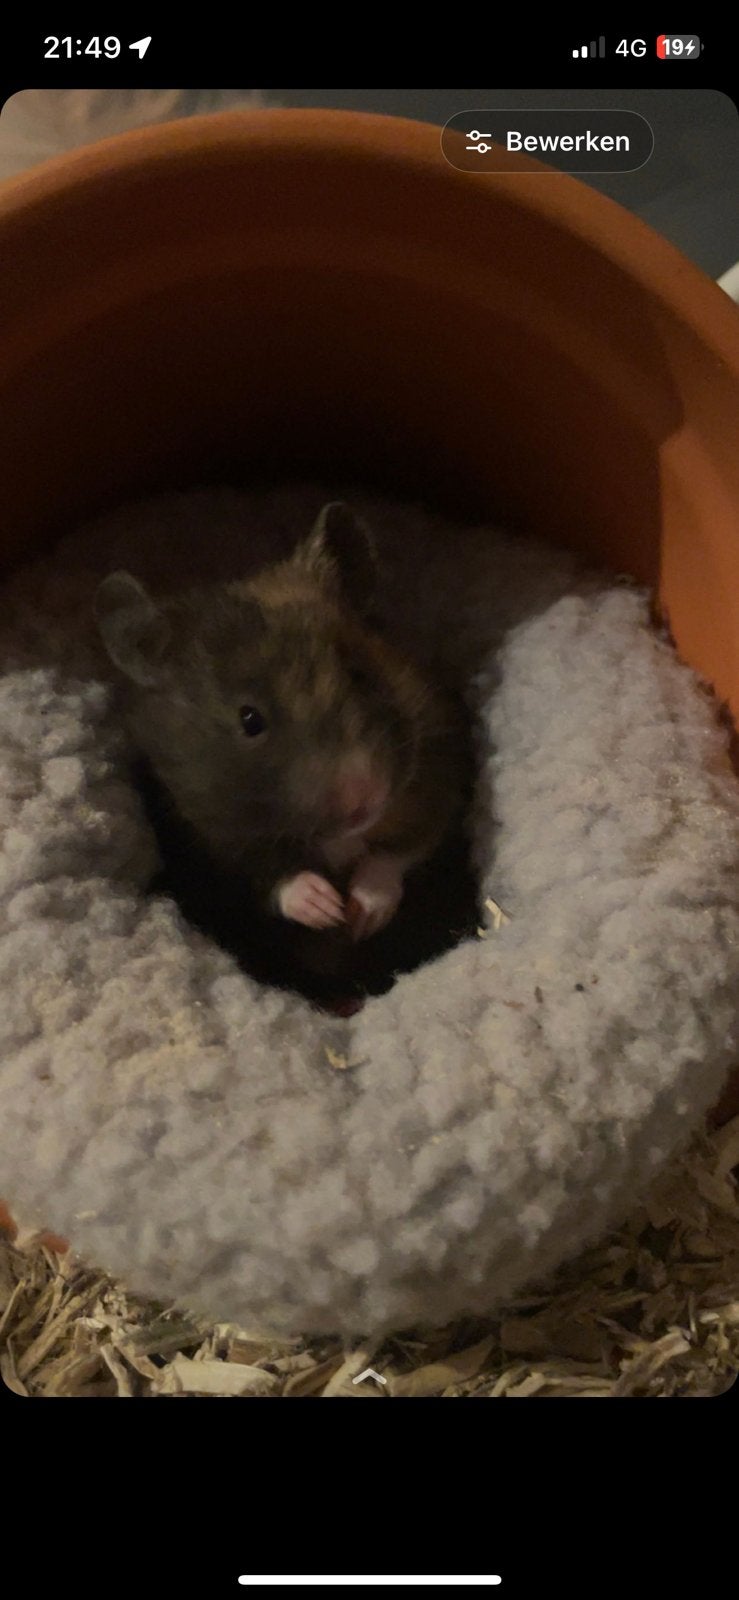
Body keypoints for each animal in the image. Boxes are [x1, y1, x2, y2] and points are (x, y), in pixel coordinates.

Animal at [94, 501, 473, 993]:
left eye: (359, 675)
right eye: (250, 719)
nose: (366, 800)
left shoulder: (437, 766)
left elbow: (403, 848)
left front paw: (361, 913)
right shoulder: (204, 841)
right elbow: (269, 879)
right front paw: (325, 907)